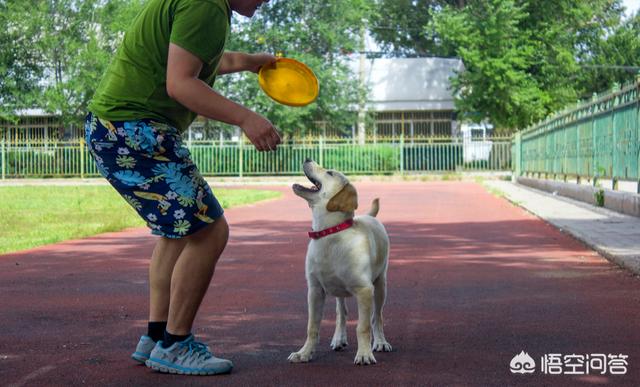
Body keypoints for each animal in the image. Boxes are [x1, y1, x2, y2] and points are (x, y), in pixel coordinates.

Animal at [288, 159, 390, 366]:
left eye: (329, 172)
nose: (307, 158)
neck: (330, 234)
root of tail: (370, 216)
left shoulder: (364, 290)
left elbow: (363, 326)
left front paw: (364, 354)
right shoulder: (315, 290)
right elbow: (312, 327)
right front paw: (304, 353)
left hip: (380, 285)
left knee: (377, 317)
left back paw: (380, 342)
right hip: (337, 290)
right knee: (341, 313)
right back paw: (338, 339)